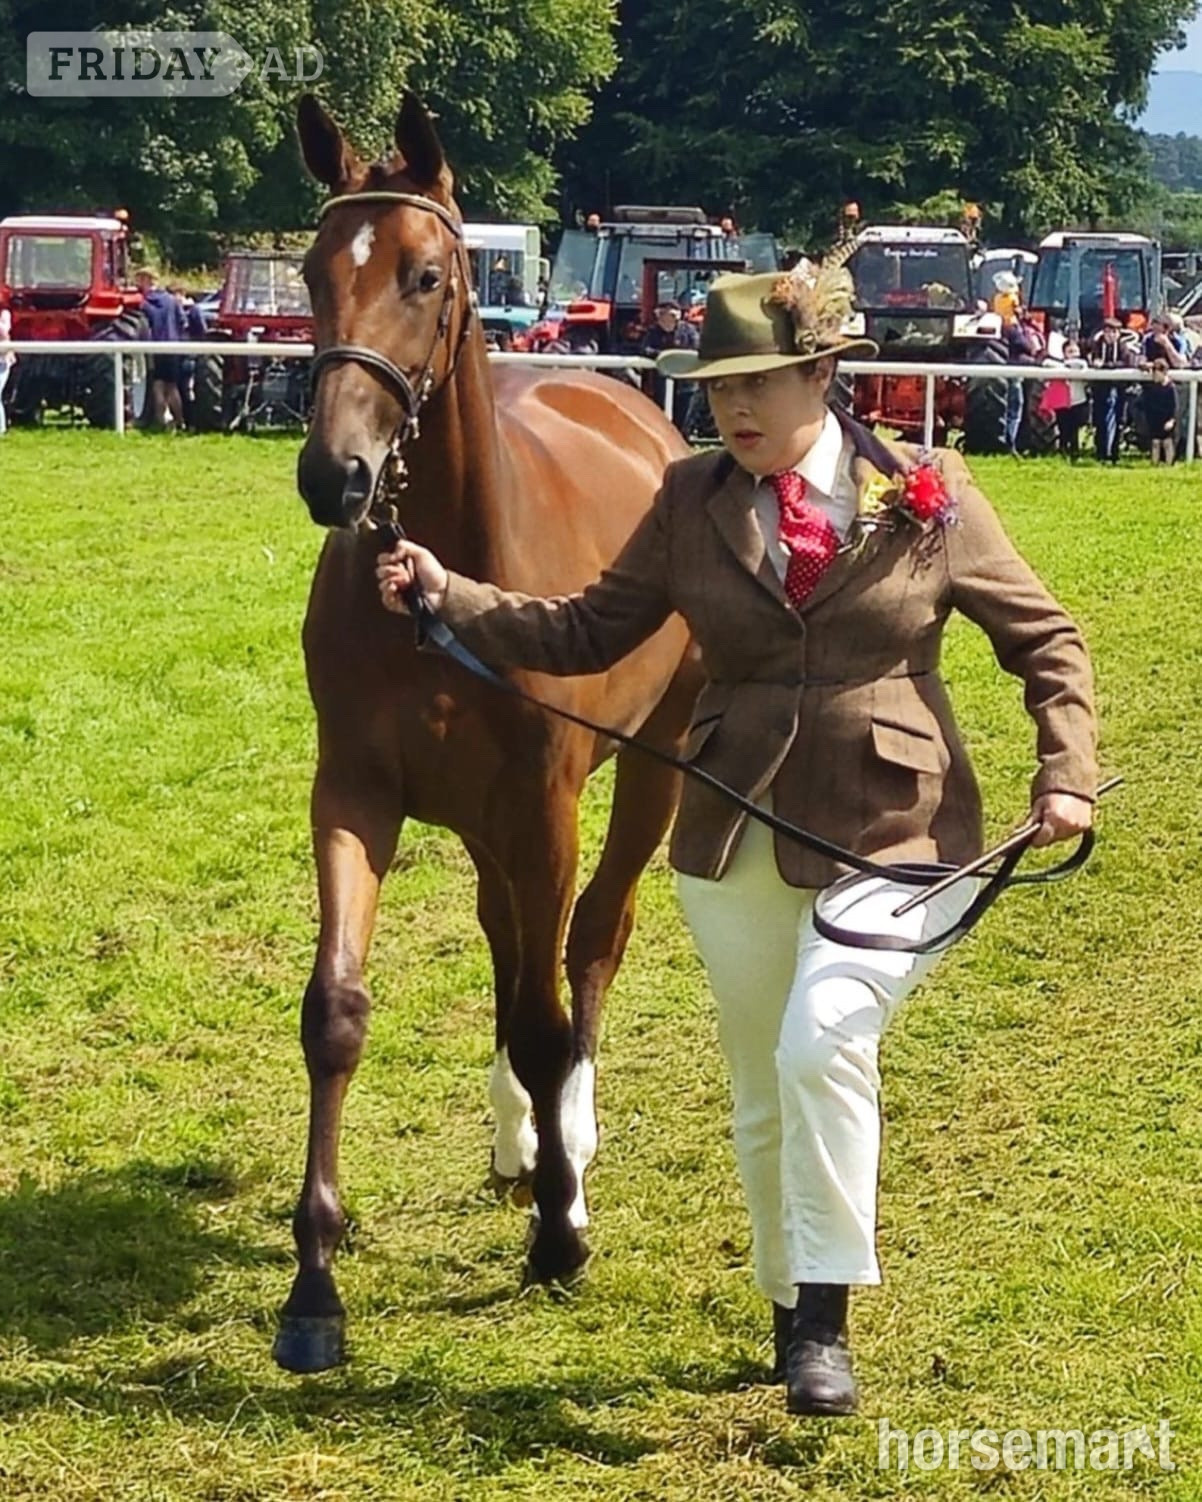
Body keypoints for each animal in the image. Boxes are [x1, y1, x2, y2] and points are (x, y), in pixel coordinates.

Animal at [273, 91, 701, 1374]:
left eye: (425, 275)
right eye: (312, 270)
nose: (334, 475)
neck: (449, 572)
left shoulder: (546, 809)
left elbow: (554, 1010)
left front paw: (560, 1232)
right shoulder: (356, 795)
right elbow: (337, 1012)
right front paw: (313, 1282)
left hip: (647, 774)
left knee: (588, 944)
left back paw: (571, 1148)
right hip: (478, 819)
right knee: (509, 944)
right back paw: (519, 1140)